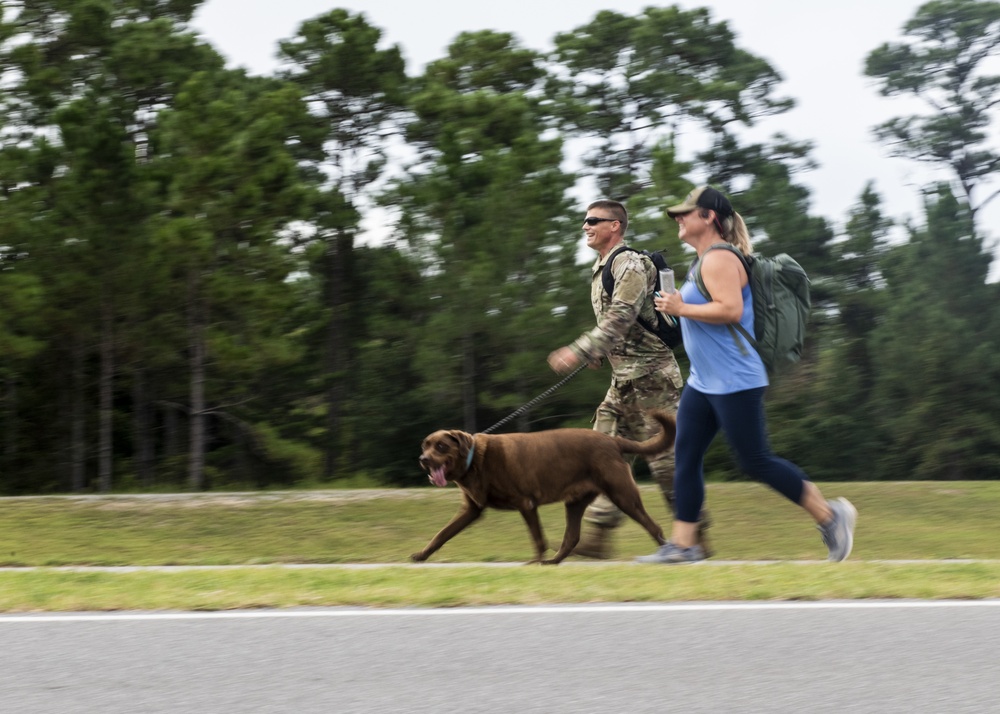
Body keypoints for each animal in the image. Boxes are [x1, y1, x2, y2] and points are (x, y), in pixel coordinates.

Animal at [410, 408, 676, 564]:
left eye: (441, 446)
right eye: (425, 445)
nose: (423, 459)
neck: (474, 460)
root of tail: (613, 441)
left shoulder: (525, 503)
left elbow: (537, 537)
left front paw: (534, 561)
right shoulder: (471, 509)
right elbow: (442, 533)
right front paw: (421, 555)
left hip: (622, 494)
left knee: (653, 525)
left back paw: (668, 554)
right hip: (576, 502)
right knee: (572, 537)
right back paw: (554, 561)